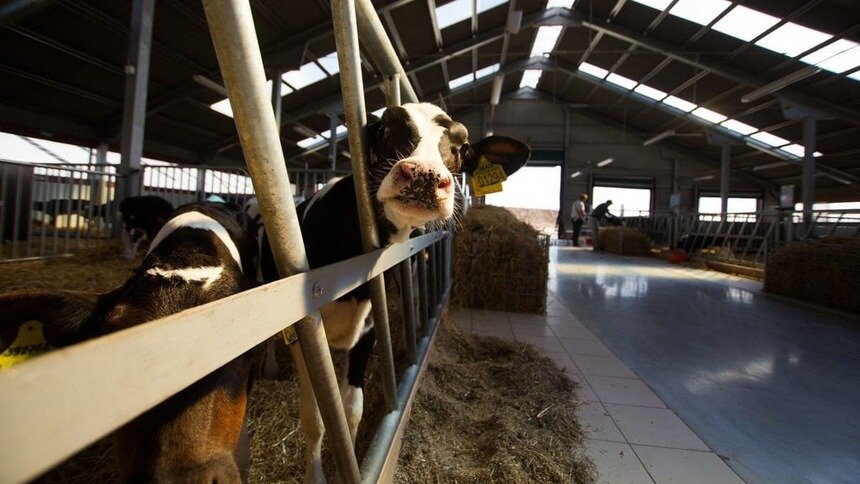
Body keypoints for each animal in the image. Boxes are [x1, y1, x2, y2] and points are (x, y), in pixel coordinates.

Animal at [250, 102, 532, 480]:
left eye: (460, 147)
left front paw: (350, 464)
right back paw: (268, 366)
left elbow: (350, 410)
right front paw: (316, 475)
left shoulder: (368, 329)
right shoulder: (305, 336)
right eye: (384, 129)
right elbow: (315, 418)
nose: (425, 175)